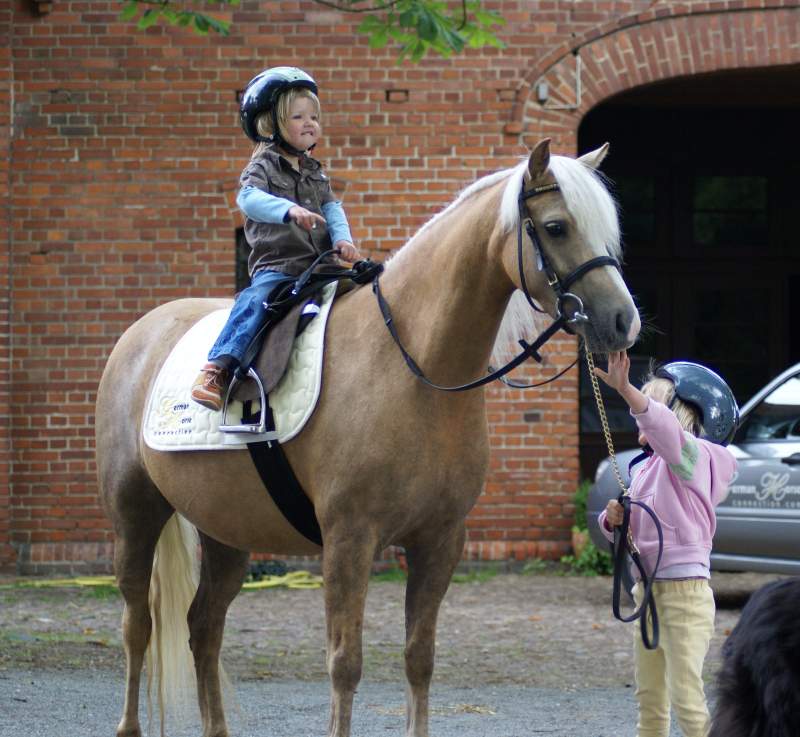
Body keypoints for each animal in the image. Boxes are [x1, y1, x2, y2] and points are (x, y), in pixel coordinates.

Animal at [97, 139, 640, 736]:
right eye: (556, 226)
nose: (623, 322)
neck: (412, 364)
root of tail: (141, 333)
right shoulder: (349, 541)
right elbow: (345, 664)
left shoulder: (439, 540)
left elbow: (419, 658)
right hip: (135, 511)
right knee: (137, 623)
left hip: (226, 530)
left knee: (203, 627)